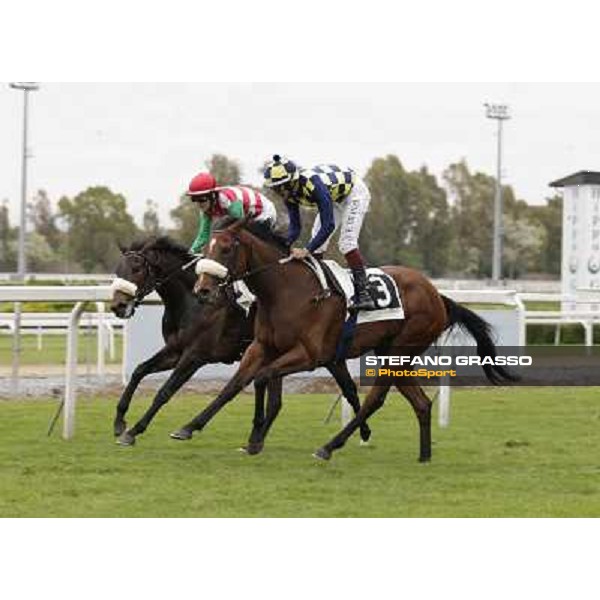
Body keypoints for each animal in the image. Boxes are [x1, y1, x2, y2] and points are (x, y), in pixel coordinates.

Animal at [109, 234, 370, 450]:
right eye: (117, 270)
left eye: (136, 269)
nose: (118, 306)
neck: (192, 299)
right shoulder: (175, 350)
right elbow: (139, 370)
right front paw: (120, 422)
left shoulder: (195, 355)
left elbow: (165, 391)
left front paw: (134, 430)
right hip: (317, 355)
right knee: (338, 390)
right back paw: (361, 432)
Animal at [170, 218, 516, 462]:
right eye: (207, 248)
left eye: (226, 248)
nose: (202, 290)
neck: (285, 290)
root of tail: (437, 295)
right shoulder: (263, 347)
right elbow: (234, 386)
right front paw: (190, 427)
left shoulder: (309, 354)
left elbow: (262, 378)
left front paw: (256, 435)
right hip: (396, 355)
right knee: (420, 402)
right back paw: (424, 456)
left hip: (398, 353)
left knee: (376, 398)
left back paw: (329, 446)